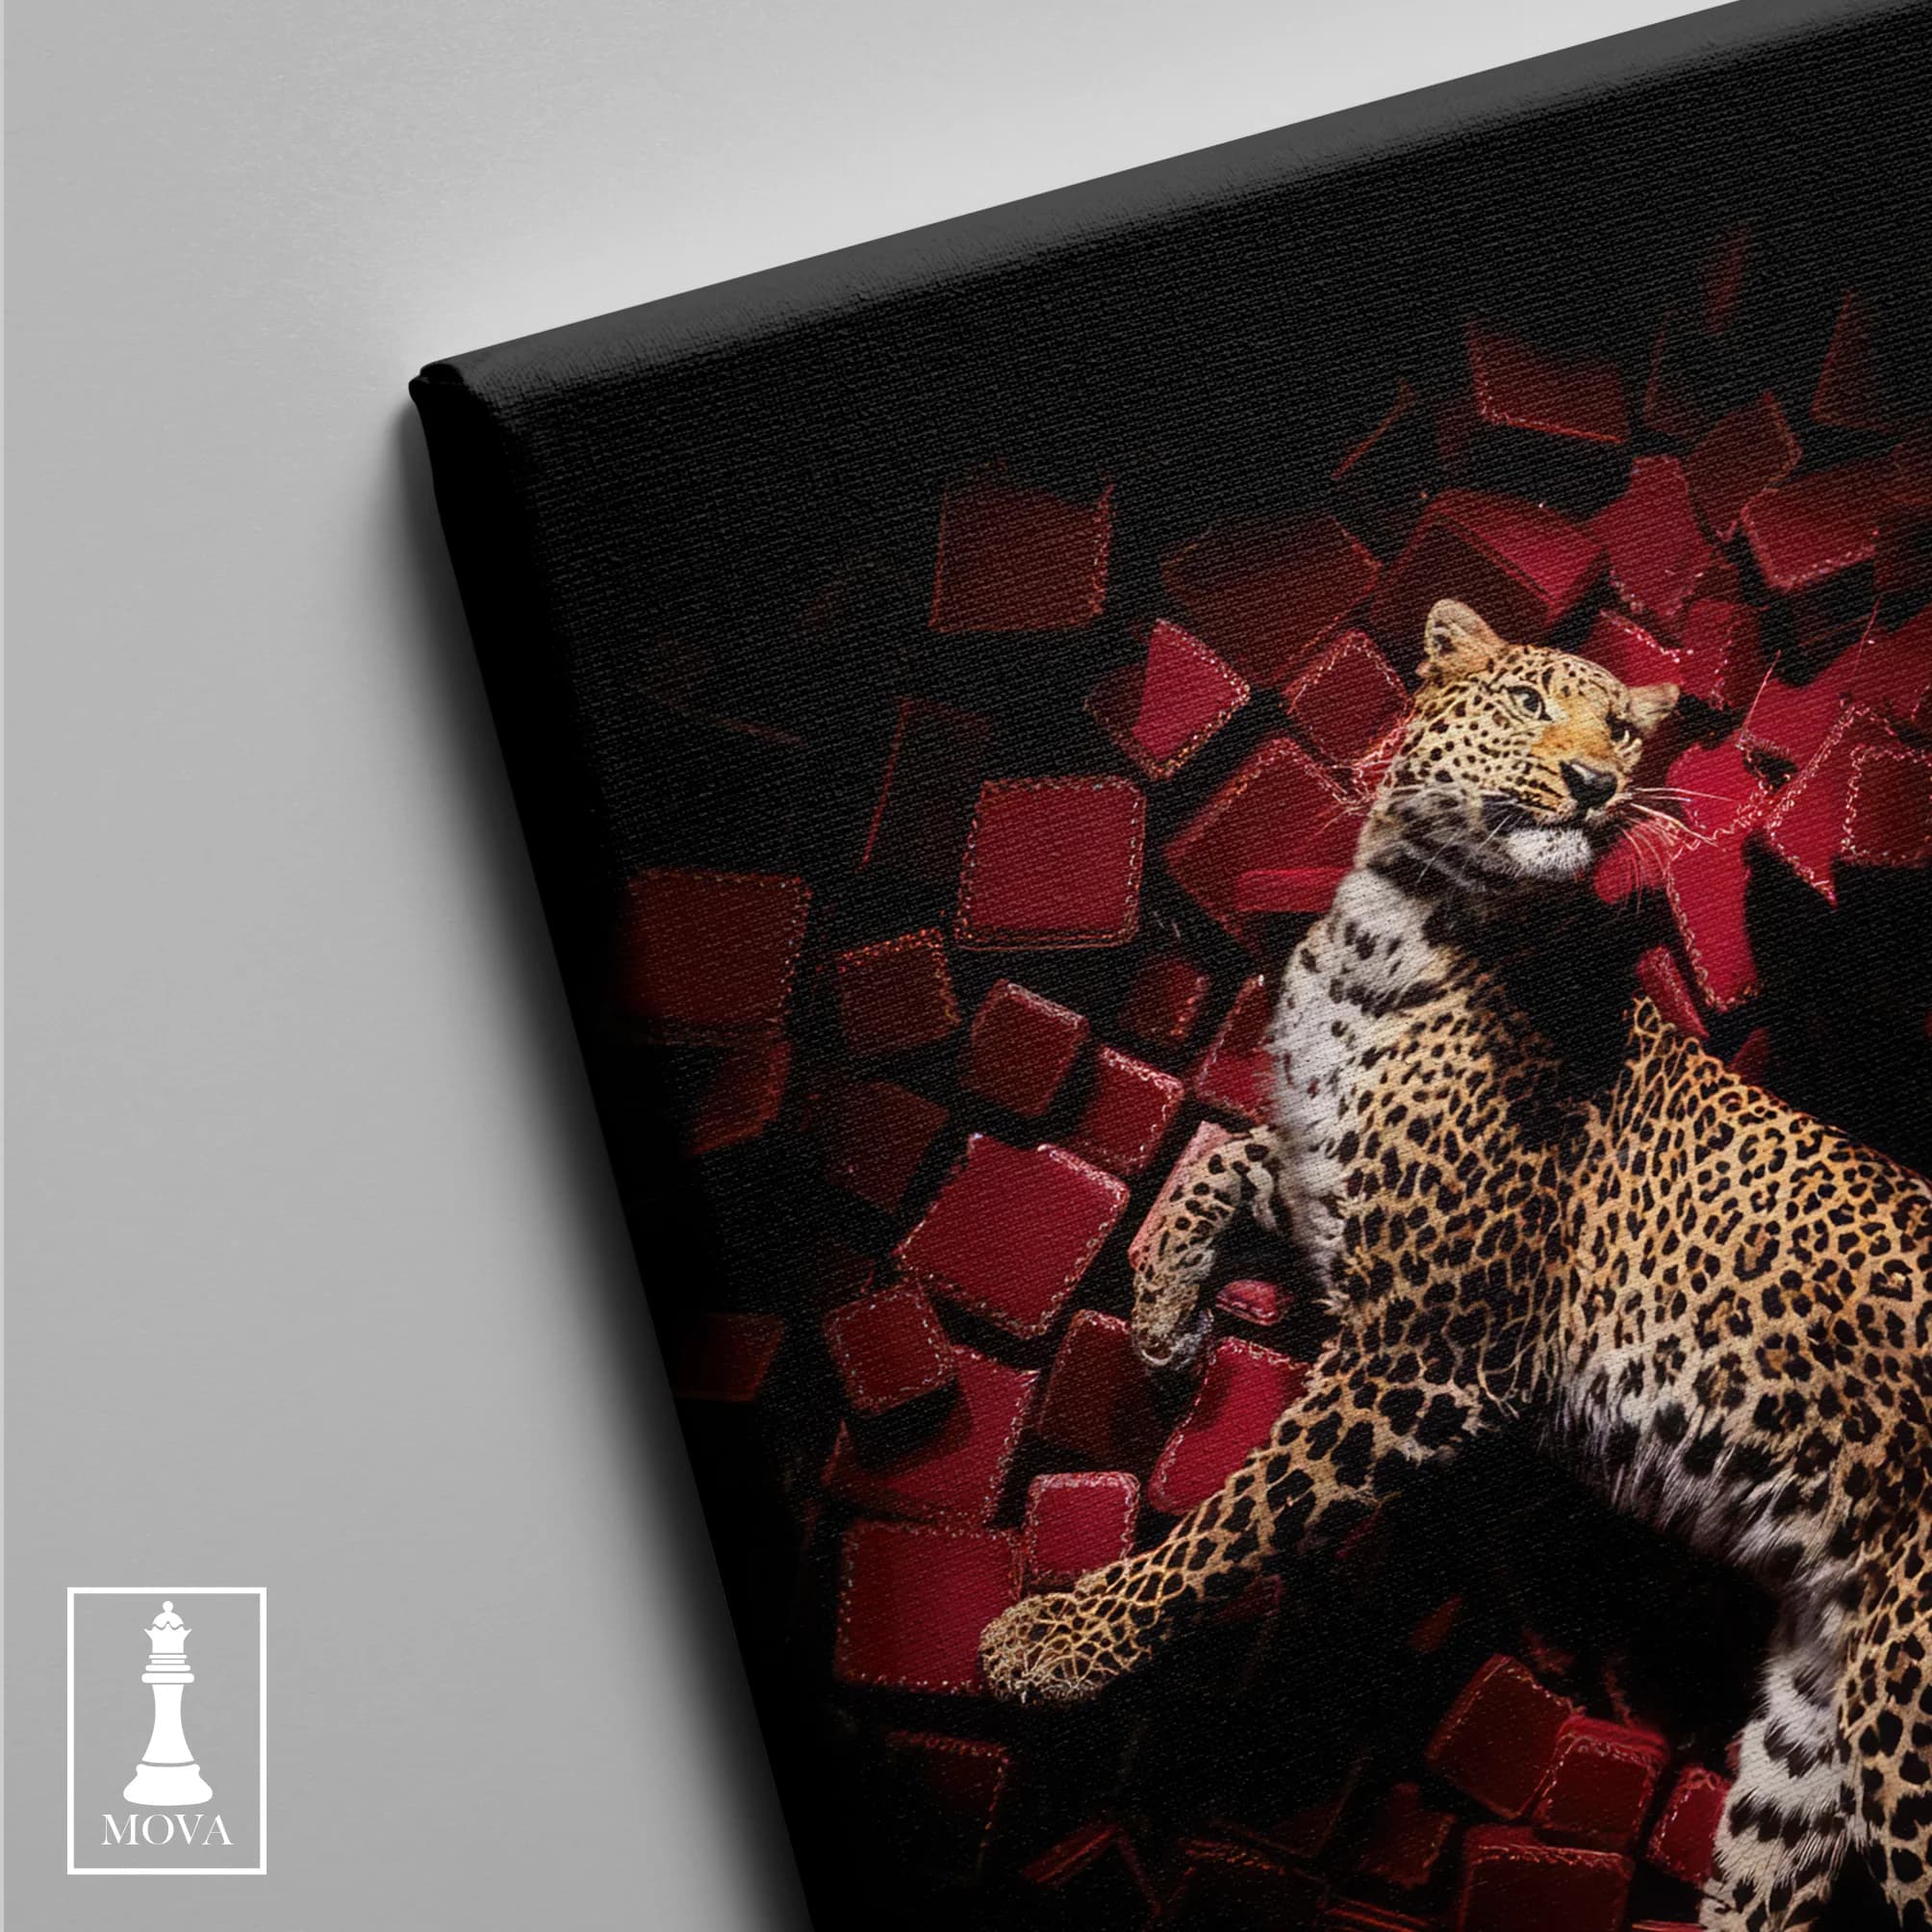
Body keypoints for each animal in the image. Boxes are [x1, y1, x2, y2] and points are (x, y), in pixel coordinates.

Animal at [978, 598, 1932, 1929]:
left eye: (1623, 733)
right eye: (1530, 703)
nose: (1594, 786)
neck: (1389, 923)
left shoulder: (1423, 1356)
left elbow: (1230, 1522)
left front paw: (1064, 1642)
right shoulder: (1324, 1182)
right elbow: (1219, 1156)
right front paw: (1167, 1318)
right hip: (1818, 1714)